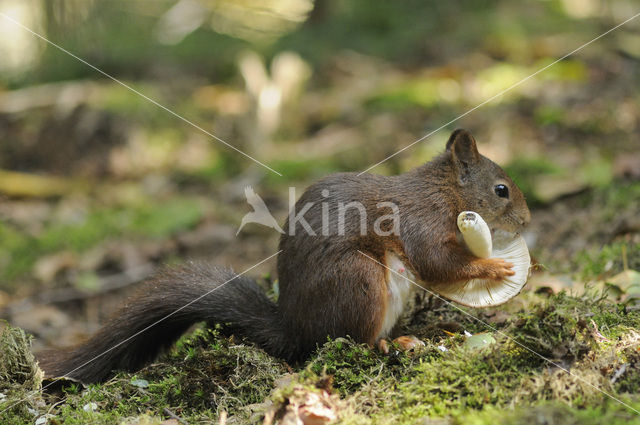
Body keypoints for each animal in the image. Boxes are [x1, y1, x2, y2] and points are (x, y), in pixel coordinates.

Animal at [37, 128, 532, 380]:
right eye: (501, 190)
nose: (527, 221)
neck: (445, 193)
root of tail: (294, 329)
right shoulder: (420, 222)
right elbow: (436, 262)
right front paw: (495, 266)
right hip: (358, 279)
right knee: (349, 341)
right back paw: (391, 345)